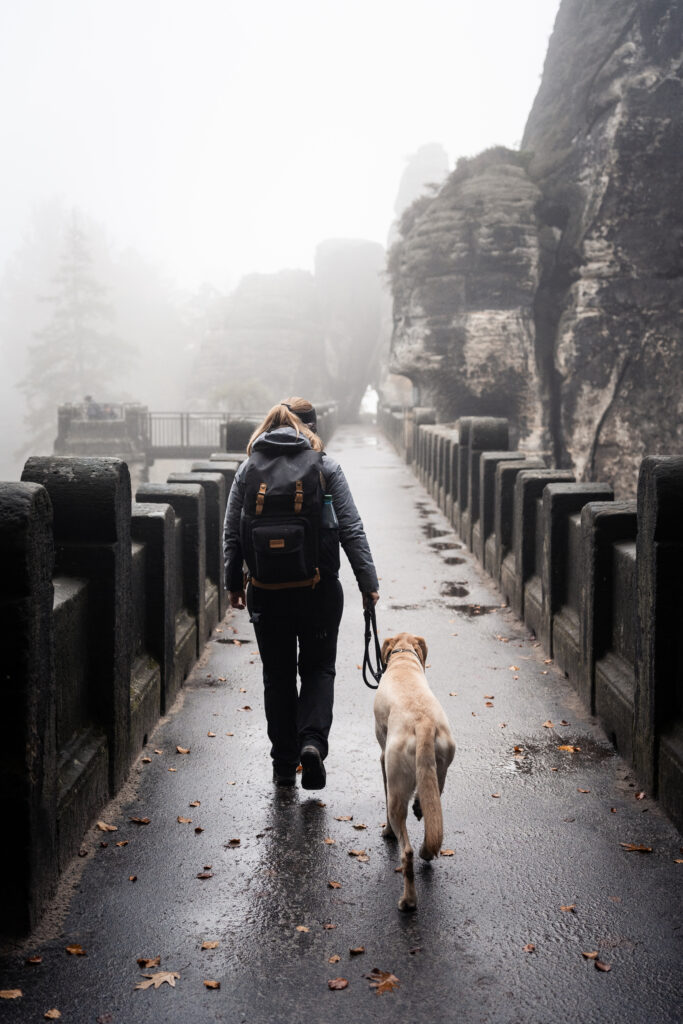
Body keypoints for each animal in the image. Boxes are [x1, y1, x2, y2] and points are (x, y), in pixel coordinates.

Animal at [374, 630, 454, 913]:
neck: (404, 660)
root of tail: (424, 723)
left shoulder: (383, 757)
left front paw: (386, 831)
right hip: (441, 766)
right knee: (433, 806)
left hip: (397, 787)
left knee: (405, 851)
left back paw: (408, 901)